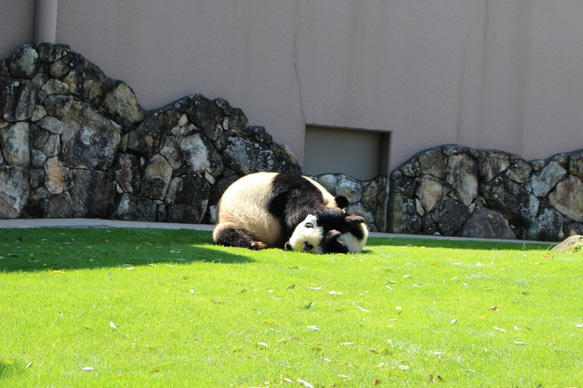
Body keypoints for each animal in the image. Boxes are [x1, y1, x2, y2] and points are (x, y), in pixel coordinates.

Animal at [214, 172, 368, 252]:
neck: (325, 196)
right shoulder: (294, 188)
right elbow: (300, 211)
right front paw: (348, 219)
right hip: (234, 219)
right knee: (228, 234)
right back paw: (255, 244)